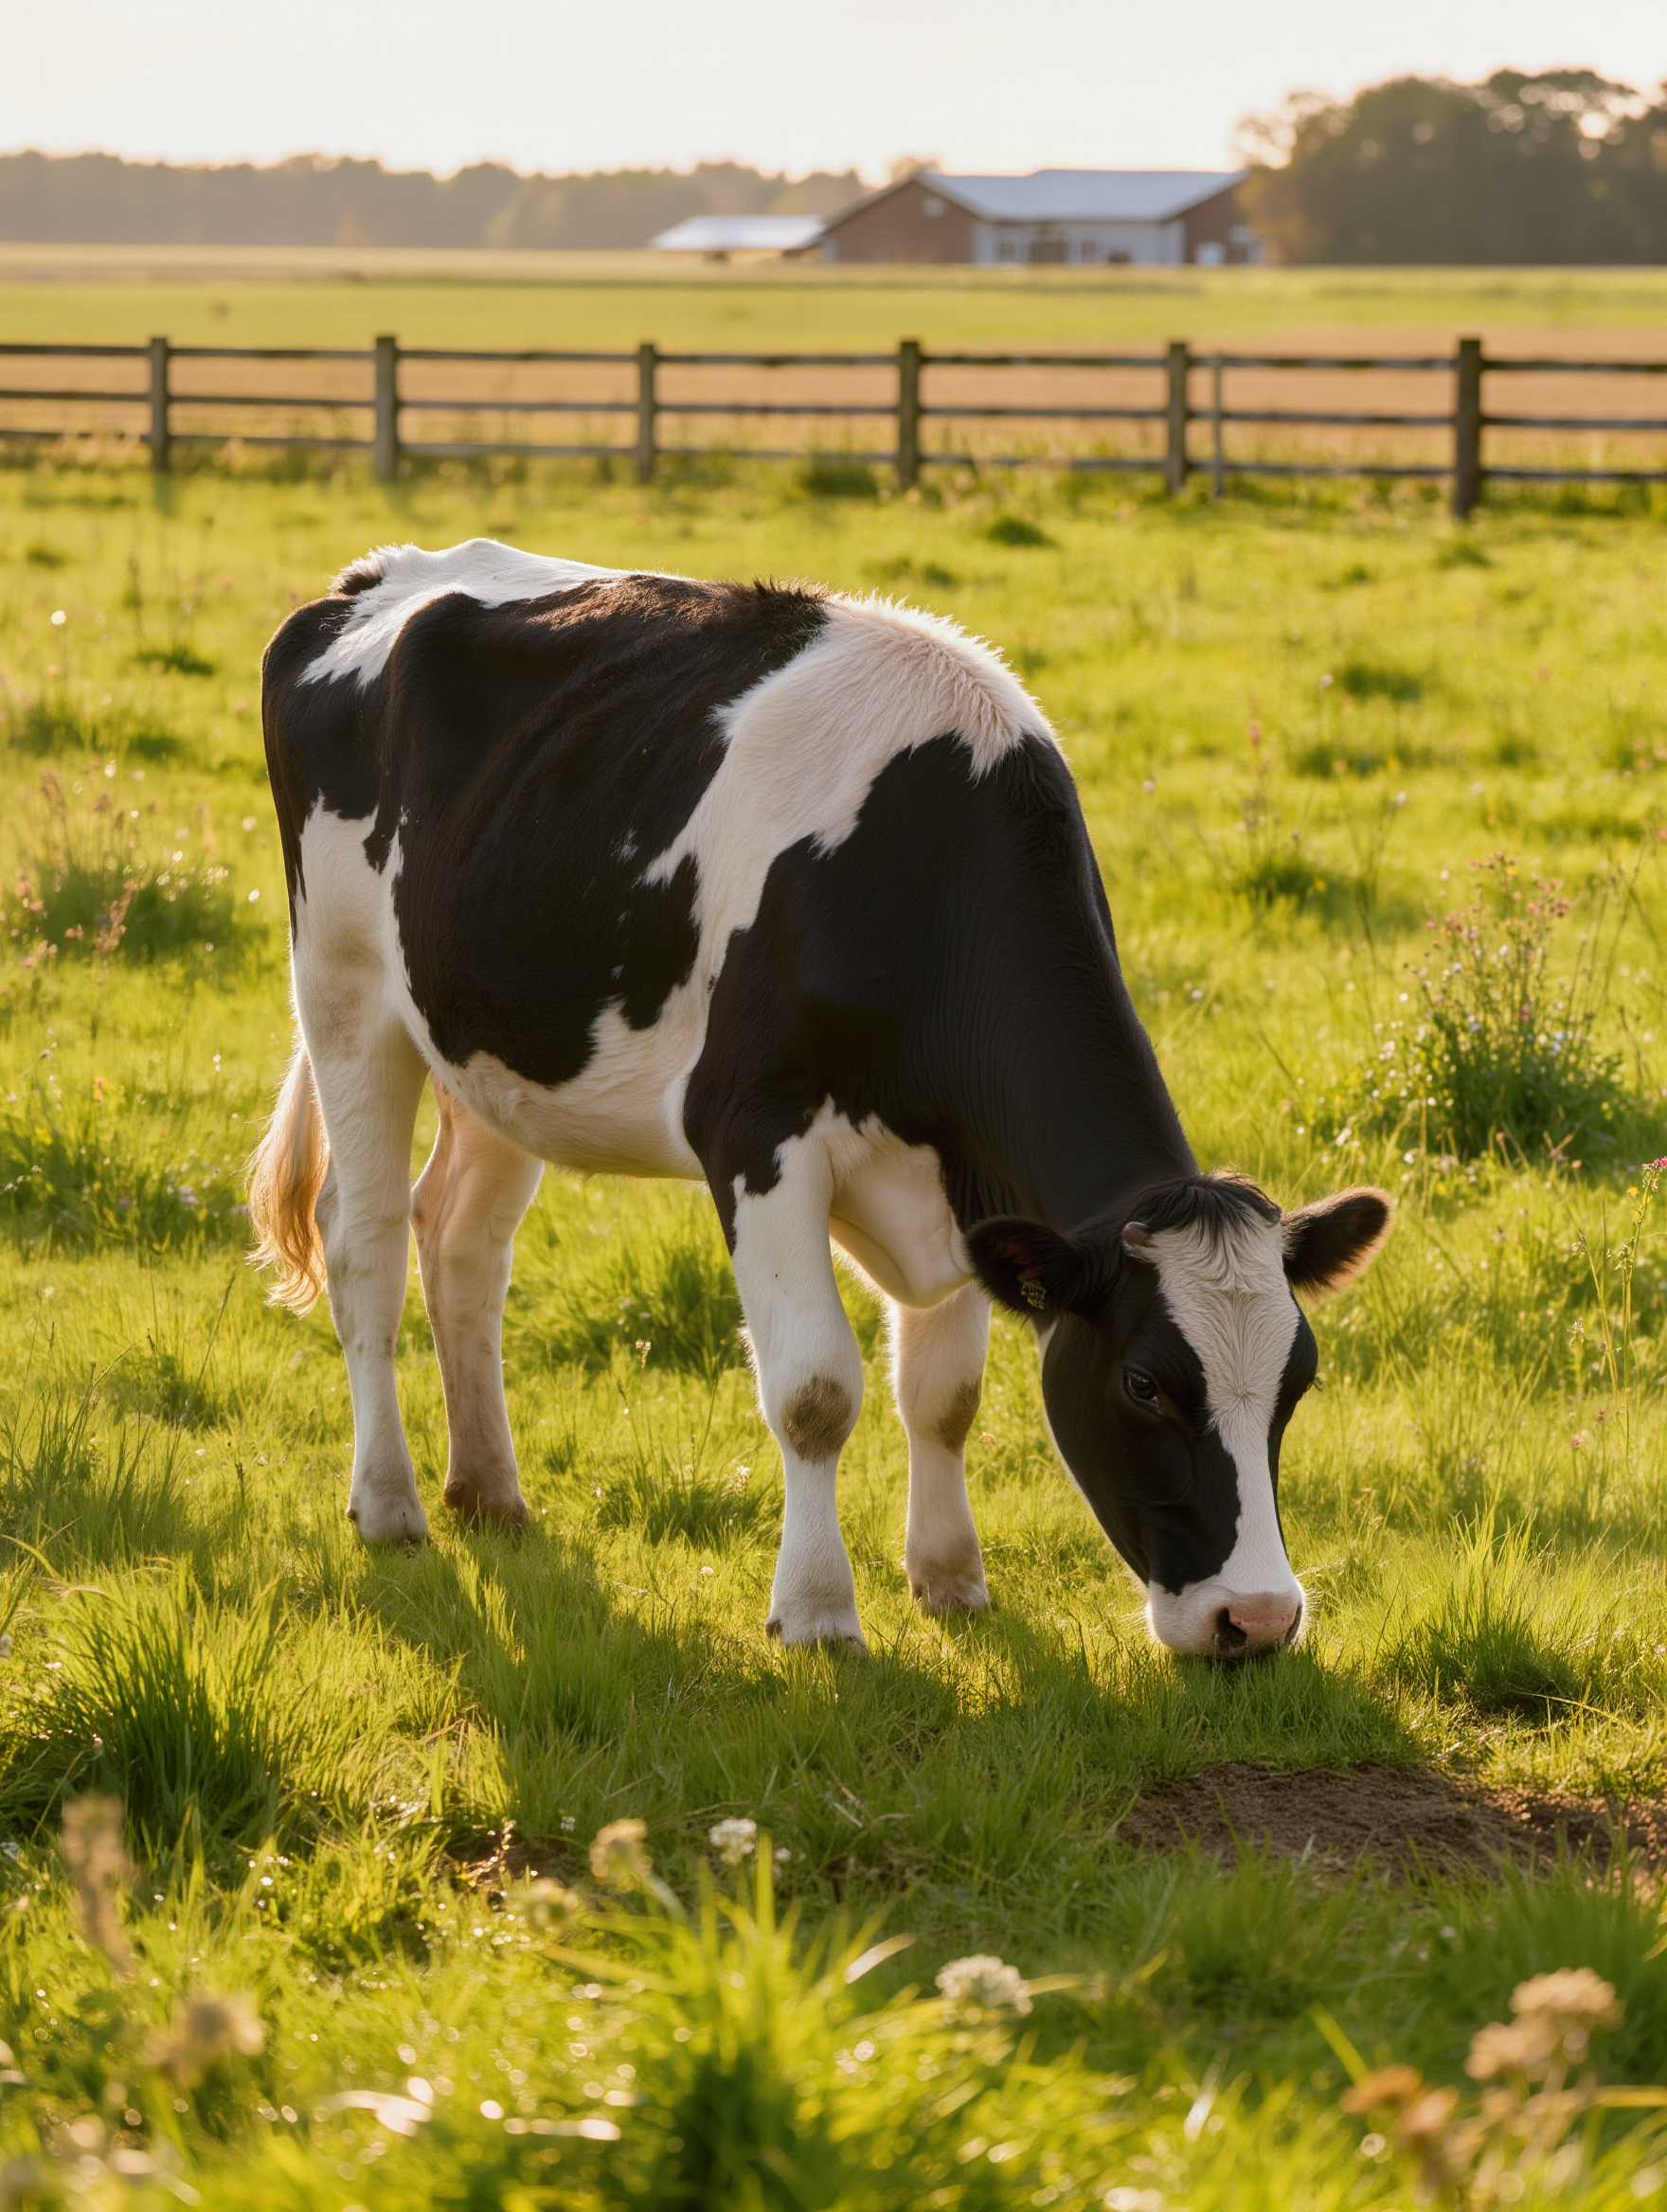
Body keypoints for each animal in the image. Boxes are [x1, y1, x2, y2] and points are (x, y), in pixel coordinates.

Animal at [249, 540, 1391, 1657]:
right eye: (1144, 1383)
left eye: (1297, 1379)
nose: (1258, 1617)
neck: (921, 879)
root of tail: (377, 575)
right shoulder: (754, 1131)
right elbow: (813, 1390)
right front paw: (815, 1611)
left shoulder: (965, 1181)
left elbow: (943, 1397)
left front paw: (950, 1580)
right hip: (346, 994)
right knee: (365, 1244)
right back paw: (389, 1505)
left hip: (496, 1047)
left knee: (464, 1245)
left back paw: (489, 1492)